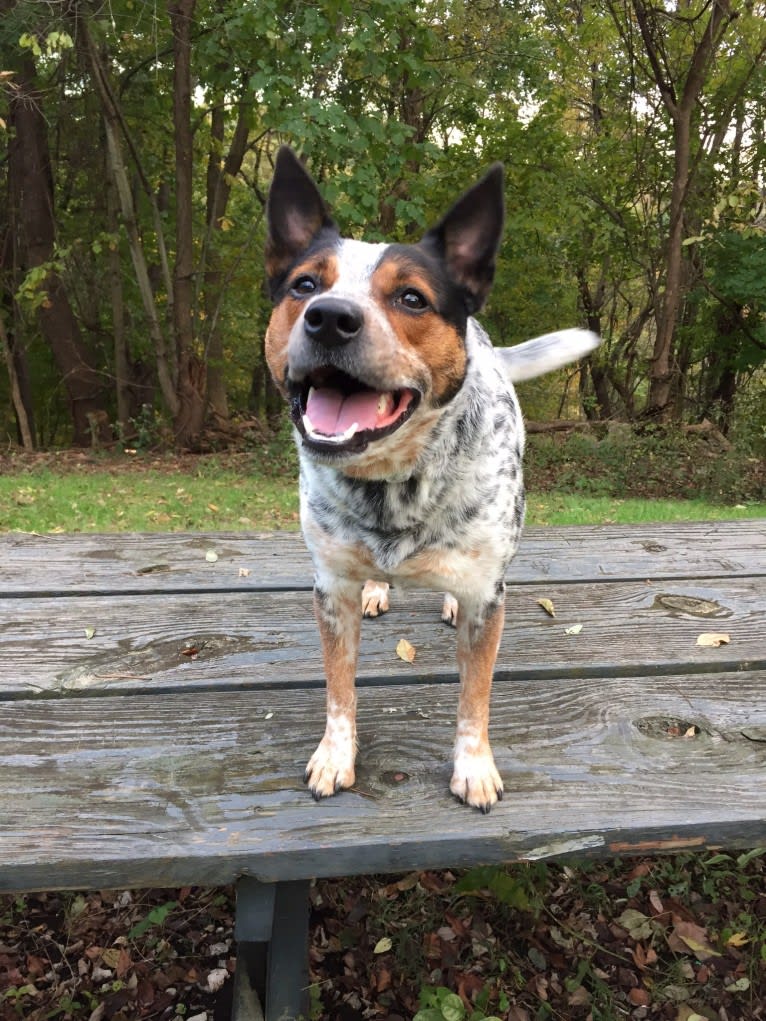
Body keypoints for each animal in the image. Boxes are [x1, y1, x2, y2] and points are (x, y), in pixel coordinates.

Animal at [263, 146, 600, 812]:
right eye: (304, 285)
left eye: (412, 299)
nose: (329, 318)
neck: (393, 481)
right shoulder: (329, 590)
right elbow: (339, 688)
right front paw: (335, 755)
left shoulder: (488, 600)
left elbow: (474, 697)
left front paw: (474, 767)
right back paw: (379, 587)